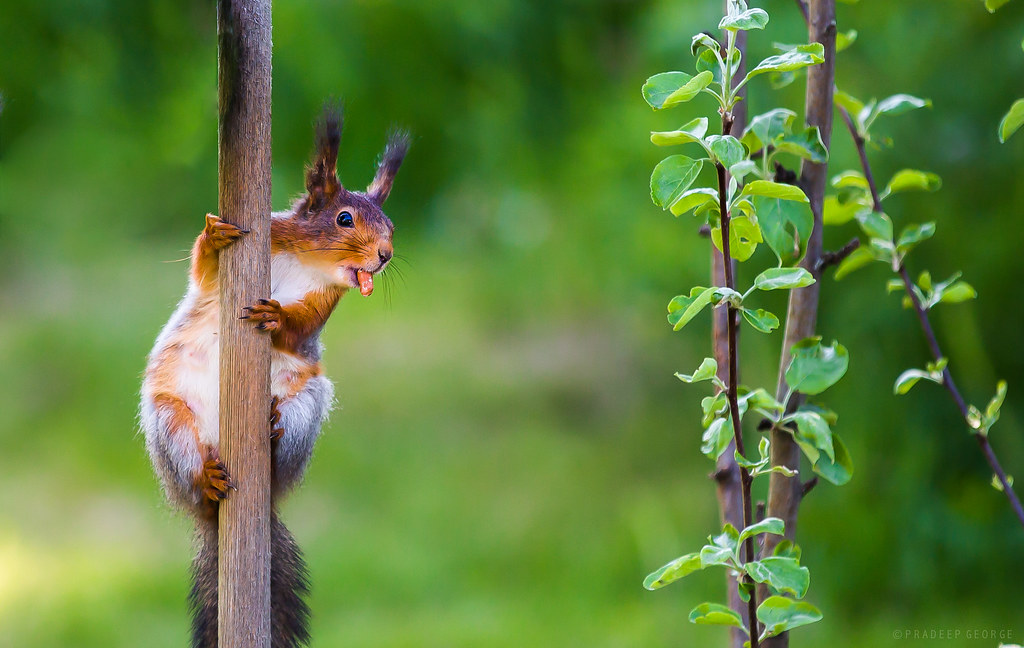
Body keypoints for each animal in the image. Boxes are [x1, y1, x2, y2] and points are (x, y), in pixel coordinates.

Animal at [139, 107, 407, 646]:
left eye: (390, 224)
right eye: (344, 218)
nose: (385, 255)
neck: (310, 261)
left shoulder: (325, 303)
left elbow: (299, 329)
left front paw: (278, 317)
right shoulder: (252, 249)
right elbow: (205, 273)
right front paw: (214, 238)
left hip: (307, 405)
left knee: (288, 436)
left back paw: (275, 428)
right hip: (170, 423)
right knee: (193, 471)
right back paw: (206, 478)